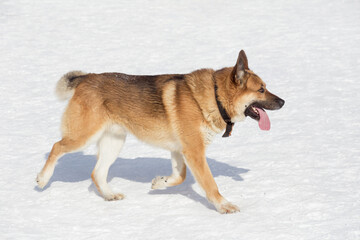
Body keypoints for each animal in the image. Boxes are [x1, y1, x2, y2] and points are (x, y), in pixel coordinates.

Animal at [35, 49, 284, 213]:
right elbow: (210, 183)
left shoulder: (180, 150)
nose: (283, 102)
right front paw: (224, 205)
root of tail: (86, 78)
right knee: (56, 147)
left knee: (97, 173)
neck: (215, 97)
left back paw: (109, 194)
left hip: (114, 141)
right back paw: (43, 179)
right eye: (261, 90)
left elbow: (180, 176)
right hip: (83, 137)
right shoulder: (194, 151)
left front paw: (160, 183)